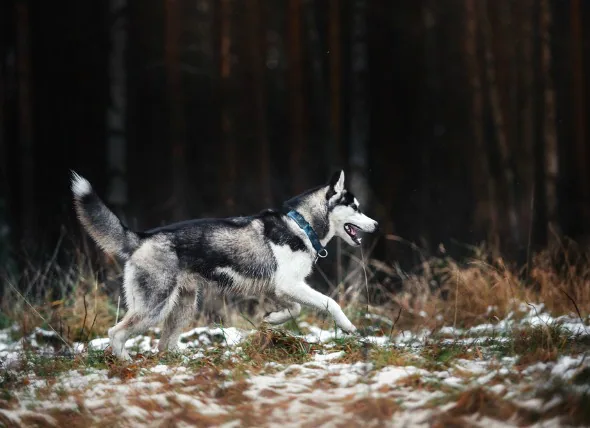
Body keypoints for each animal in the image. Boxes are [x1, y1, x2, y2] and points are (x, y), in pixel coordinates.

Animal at [71, 169, 382, 360]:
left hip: (184, 306)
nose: (377, 225)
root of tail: (141, 237)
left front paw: (272, 319)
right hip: (154, 306)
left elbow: (293, 309)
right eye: (356, 207)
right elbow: (331, 303)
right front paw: (349, 328)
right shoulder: (290, 285)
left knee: (163, 344)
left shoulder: (282, 288)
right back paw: (125, 361)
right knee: (116, 333)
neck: (301, 225)